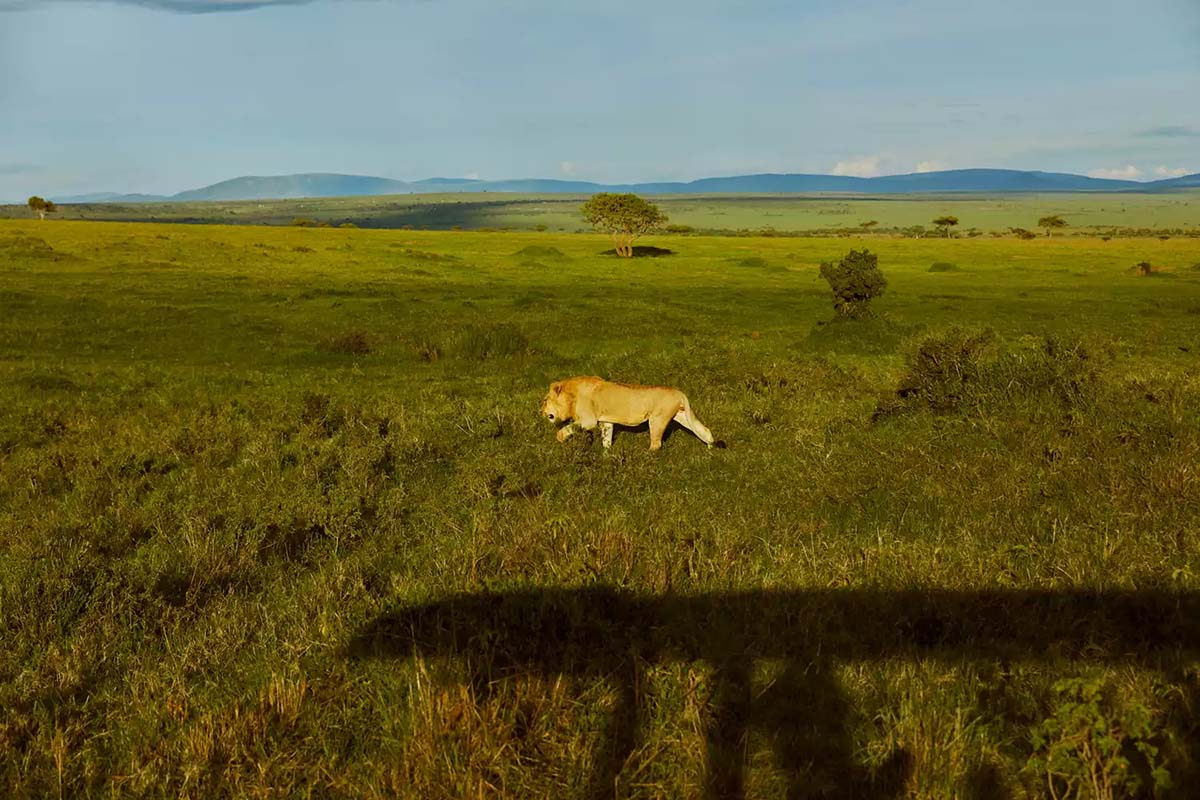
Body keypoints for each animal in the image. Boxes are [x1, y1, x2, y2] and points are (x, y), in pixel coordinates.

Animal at [542, 376, 720, 450]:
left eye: (545, 400)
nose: (541, 412)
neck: (571, 394)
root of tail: (679, 392)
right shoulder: (606, 422)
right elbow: (606, 440)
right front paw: (606, 457)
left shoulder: (588, 420)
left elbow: (565, 429)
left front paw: (561, 440)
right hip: (682, 416)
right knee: (704, 429)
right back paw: (710, 448)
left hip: (657, 419)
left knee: (656, 443)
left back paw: (647, 456)